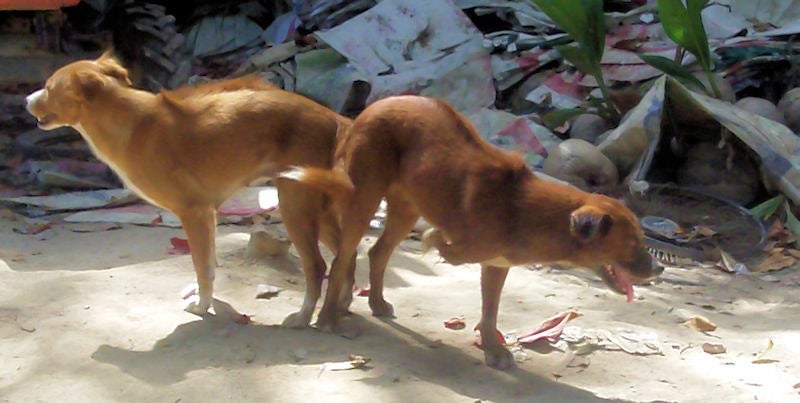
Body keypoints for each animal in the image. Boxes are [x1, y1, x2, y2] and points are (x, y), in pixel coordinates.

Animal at [25, 51, 354, 328]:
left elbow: (201, 266)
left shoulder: (192, 212)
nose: (26, 100)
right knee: (344, 256)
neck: (129, 124)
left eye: (49, 88)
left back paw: (303, 317)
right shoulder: (208, 214)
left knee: (318, 265)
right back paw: (341, 306)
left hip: (294, 206)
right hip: (316, 207)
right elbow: (208, 265)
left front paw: (201, 306)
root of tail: (332, 118)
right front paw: (203, 298)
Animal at [282, 94, 664, 370]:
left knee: (376, 253)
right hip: (364, 198)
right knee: (342, 259)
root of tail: (370, 108)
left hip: (407, 207)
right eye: (632, 243)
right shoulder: (469, 250)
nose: (660, 269)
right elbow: (446, 247)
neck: (524, 210)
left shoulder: (496, 265)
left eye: (643, 241)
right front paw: (433, 241)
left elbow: (490, 312)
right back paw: (328, 317)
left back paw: (376, 302)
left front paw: (493, 350)